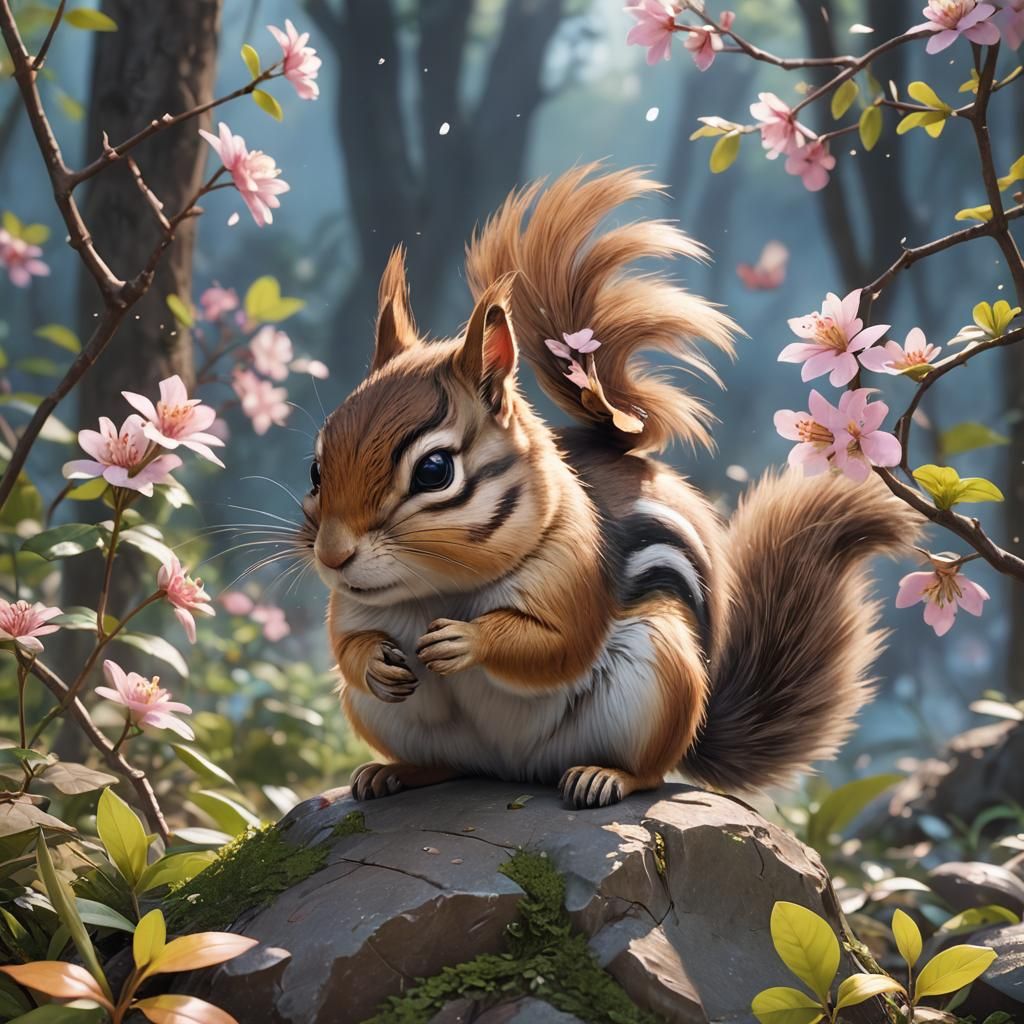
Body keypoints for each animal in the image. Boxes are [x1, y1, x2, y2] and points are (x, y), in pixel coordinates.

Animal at [302, 165, 919, 809]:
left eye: (434, 471)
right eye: (316, 471)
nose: (332, 556)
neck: (437, 591)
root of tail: (512, 770)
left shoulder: (574, 574)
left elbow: (555, 644)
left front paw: (467, 642)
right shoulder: (351, 610)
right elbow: (345, 648)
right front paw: (375, 659)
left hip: (659, 673)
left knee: (652, 770)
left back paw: (604, 777)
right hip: (388, 720)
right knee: (447, 763)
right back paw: (392, 773)